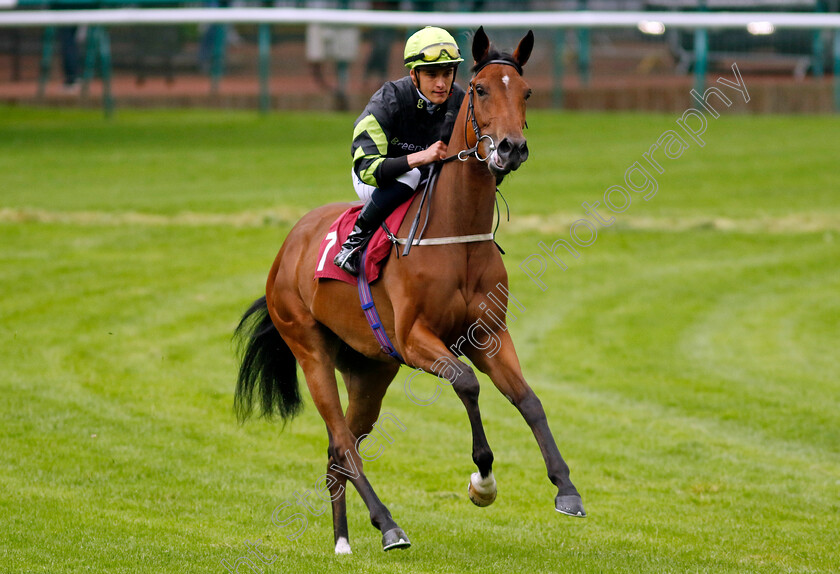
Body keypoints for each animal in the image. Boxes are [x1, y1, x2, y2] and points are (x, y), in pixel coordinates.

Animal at [230, 28, 584, 560]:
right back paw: (389, 525)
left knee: (339, 450)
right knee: (344, 443)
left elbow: (529, 401)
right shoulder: (416, 339)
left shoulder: (490, 336)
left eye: (525, 92)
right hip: (310, 350)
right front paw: (482, 481)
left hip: (370, 371)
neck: (455, 237)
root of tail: (288, 246)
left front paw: (566, 488)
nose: (511, 149)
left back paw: (343, 539)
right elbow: (467, 383)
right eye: (480, 89)